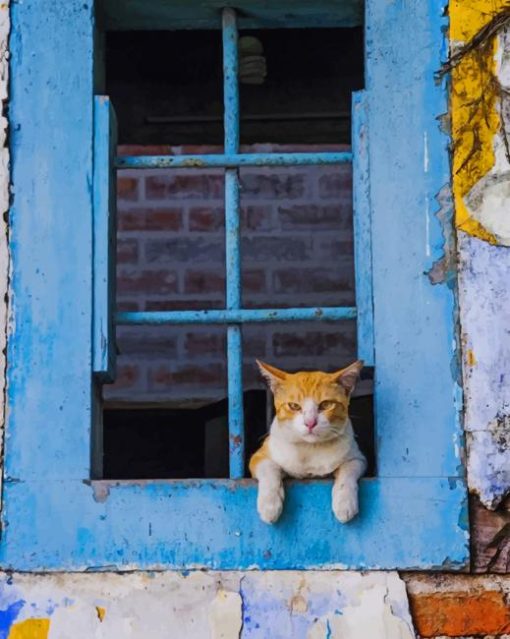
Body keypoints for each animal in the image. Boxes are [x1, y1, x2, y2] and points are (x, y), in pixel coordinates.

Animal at [248, 360, 364, 524]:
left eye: (326, 405)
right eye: (294, 406)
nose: (310, 423)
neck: (309, 448)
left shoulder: (357, 458)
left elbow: (348, 470)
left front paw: (344, 503)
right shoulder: (259, 456)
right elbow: (269, 468)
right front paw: (269, 505)